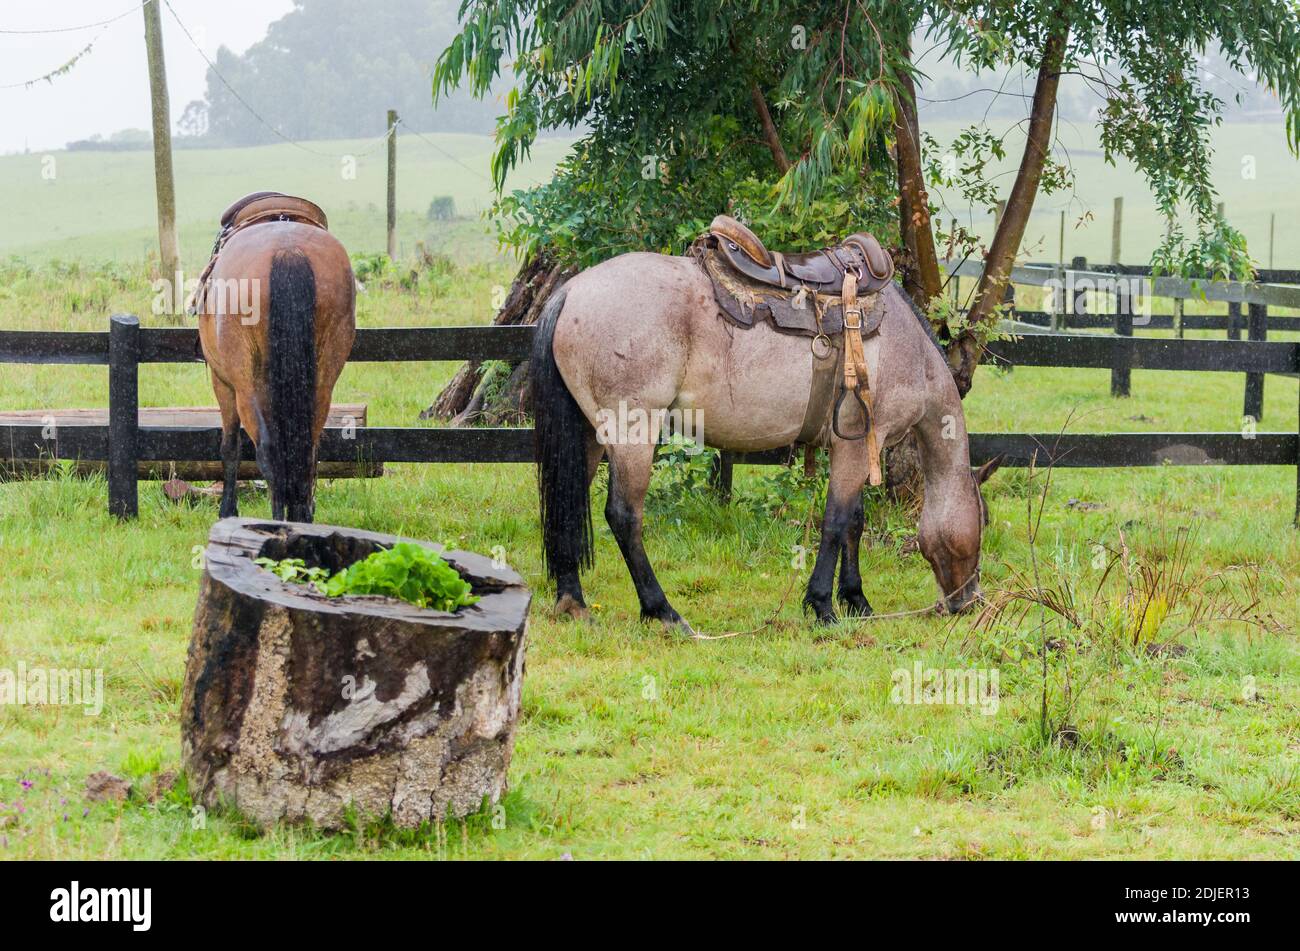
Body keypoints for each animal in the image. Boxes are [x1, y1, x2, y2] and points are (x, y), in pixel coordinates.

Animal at [195, 196, 356, 523]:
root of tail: (288, 250)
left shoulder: (223, 384)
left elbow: (230, 446)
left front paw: (227, 511)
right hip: (322, 382)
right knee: (306, 447)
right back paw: (300, 517)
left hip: (245, 386)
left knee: (268, 450)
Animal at [530, 249, 997, 633]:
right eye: (984, 519)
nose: (969, 601)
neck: (907, 348)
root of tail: (570, 292)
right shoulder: (857, 444)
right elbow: (836, 522)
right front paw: (823, 607)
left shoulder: (857, 450)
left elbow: (854, 522)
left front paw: (856, 601)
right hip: (632, 434)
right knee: (624, 516)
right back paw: (663, 611)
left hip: (590, 435)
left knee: (567, 502)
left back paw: (573, 602)